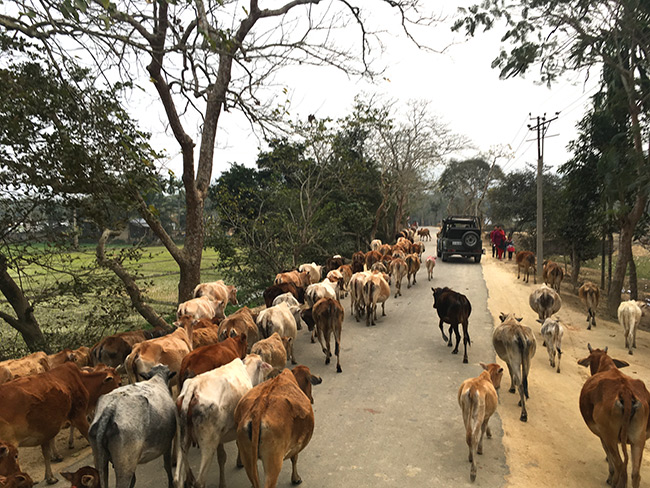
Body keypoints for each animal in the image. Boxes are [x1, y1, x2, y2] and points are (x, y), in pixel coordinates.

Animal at [173, 354, 270, 488]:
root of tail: (193, 386)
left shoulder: (220, 437)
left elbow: (222, 457)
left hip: (183, 438)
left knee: (177, 478)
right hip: (208, 444)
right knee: (199, 482)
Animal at [576, 344, 648, 488]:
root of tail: (626, 392)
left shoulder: (602, 435)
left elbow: (609, 456)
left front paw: (610, 476)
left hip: (610, 436)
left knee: (621, 466)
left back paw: (615, 482)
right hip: (638, 440)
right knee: (635, 474)